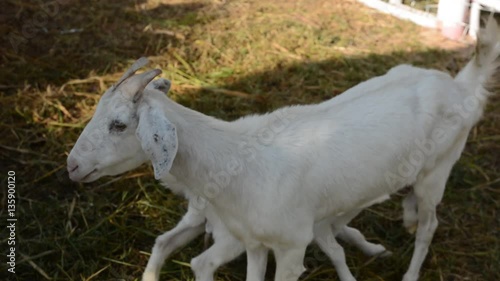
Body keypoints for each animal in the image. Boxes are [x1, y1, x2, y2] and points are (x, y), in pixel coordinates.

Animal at [67, 18, 500, 280]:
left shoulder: (292, 246)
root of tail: (460, 87)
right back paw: (402, 222)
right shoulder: (253, 243)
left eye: (119, 124)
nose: (71, 166)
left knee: (430, 226)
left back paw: (411, 267)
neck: (235, 161)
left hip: (438, 170)